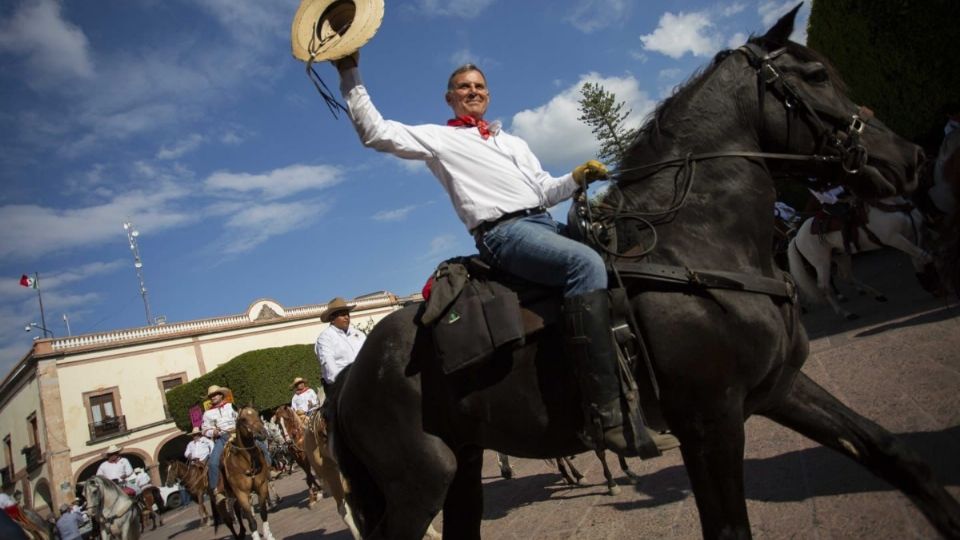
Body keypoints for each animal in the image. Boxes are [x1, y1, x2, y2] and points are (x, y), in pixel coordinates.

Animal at [332, 8, 960, 540]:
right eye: (816, 75)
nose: (909, 159)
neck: (696, 246)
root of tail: (350, 378)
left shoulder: (778, 386)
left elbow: (894, 455)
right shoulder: (710, 422)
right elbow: (728, 528)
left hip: (460, 469)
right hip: (419, 483)